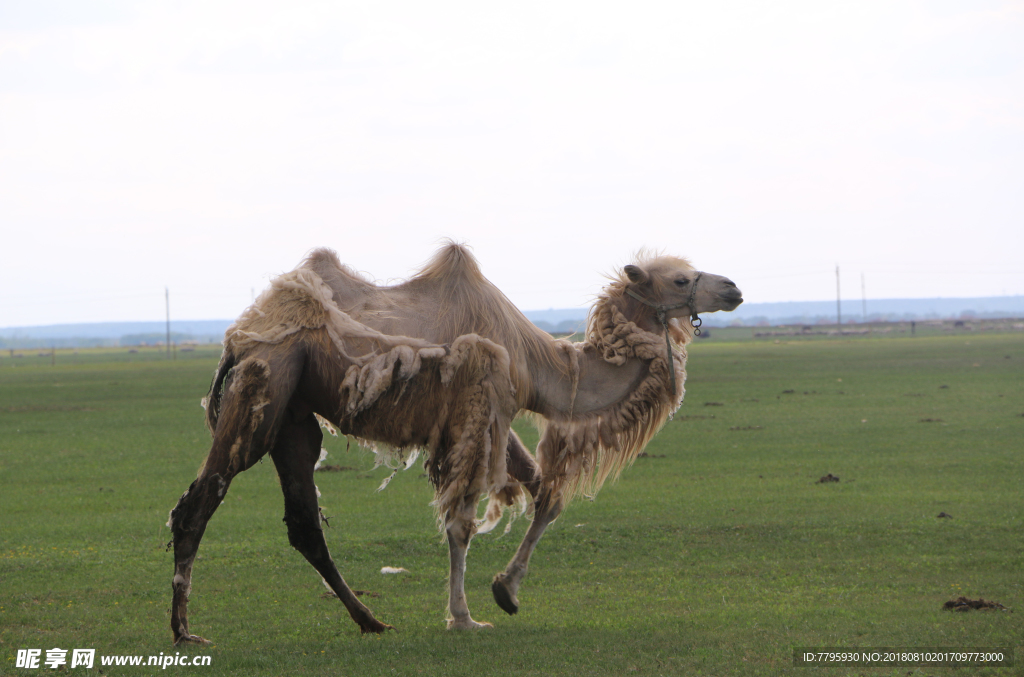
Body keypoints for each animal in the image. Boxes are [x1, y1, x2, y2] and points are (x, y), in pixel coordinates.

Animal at [167, 240, 745, 643]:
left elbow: (548, 496)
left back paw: (370, 620)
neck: (539, 364)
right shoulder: (482, 407)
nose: (734, 288)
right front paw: (465, 618)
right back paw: (184, 631)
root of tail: (241, 332)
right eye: (681, 277)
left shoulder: (498, 418)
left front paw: (506, 592)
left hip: (294, 413)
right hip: (267, 382)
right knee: (200, 502)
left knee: (304, 524)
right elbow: (462, 524)